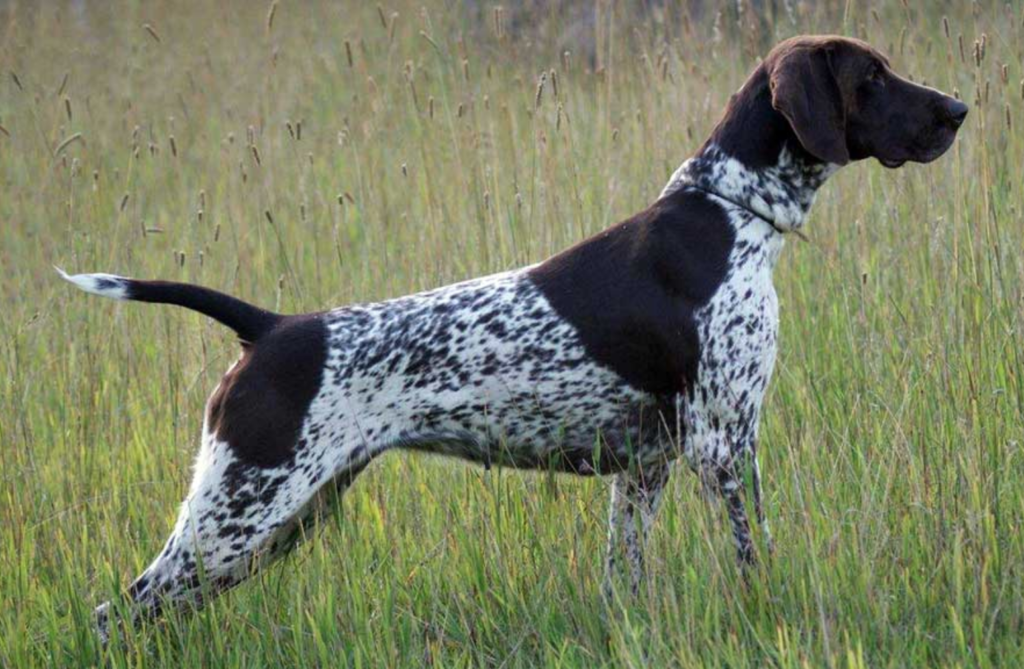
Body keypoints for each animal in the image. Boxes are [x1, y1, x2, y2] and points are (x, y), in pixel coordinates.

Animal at [64, 35, 966, 635]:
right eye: (872, 75)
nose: (959, 109)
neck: (729, 214)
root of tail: (270, 327)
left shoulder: (644, 470)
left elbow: (624, 579)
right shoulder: (724, 444)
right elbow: (755, 562)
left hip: (275, 523)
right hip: (239, 517)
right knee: (118, 614)